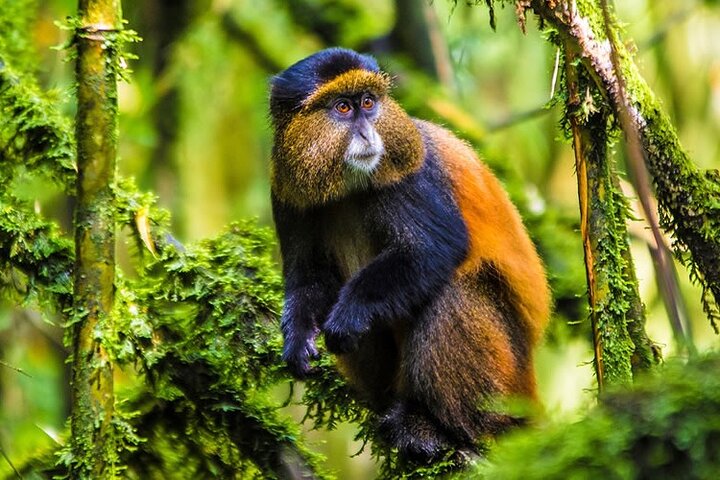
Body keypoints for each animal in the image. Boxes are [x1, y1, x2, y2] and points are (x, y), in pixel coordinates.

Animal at [269, 47, 551, 459]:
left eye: (368, 103)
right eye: (342, 107)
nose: (368, 133)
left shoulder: (409, 175)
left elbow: (433, 249)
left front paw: (349, 314)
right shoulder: (287, 193)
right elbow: (309, 277)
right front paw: (298, 337)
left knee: (453, 290)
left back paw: (437, 427)